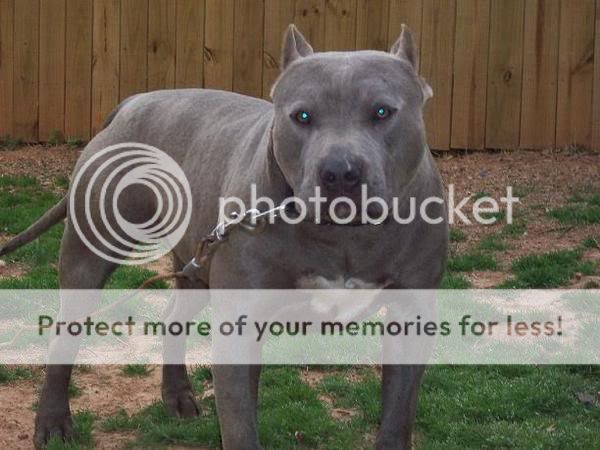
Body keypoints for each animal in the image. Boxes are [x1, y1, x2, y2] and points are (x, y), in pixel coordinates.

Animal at [1, 24, 446, 450]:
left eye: (382, 111)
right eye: (301, 116)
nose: (339, 172)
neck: (344, 237)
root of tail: (131, 104)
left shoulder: (411, 317)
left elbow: (397, 418)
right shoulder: (240, 324)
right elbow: (240, 427)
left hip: (197, 262)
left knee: (173, 317)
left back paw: (177, 395)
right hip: (89, 255)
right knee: (65, 334)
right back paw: (53, 422)